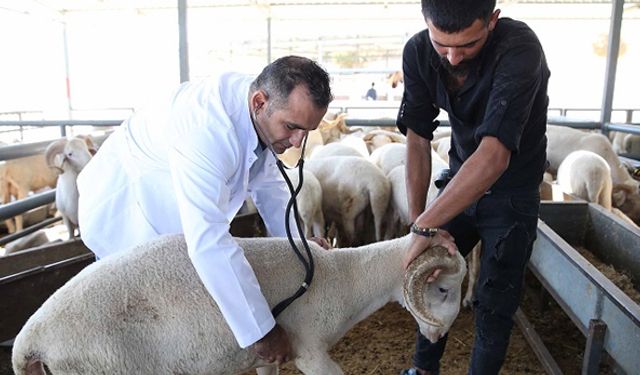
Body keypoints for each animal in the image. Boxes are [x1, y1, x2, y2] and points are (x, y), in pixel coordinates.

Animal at [11, 234, 464, 374]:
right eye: (443, 290)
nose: (439, 335)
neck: (345, 278)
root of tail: (28, 342)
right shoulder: (312, 353)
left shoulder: (269, 353)